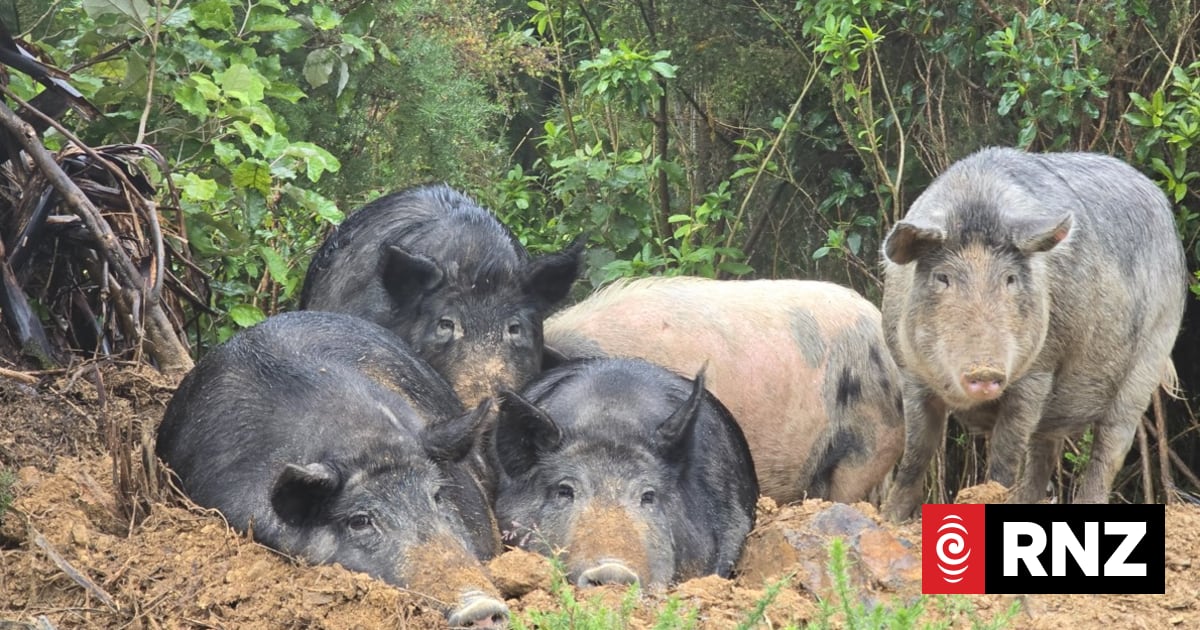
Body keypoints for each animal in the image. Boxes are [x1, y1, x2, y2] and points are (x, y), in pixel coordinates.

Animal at [880, 147, 1187, 521]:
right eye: (942, 277)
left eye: (1010, 279)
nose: (985, 370)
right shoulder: (908, 371)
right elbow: (917, 450)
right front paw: (890, 518)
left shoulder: (1038, 371)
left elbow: (1005, 455)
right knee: (1044, 449)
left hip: (1153, 350)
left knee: (1109, 445)